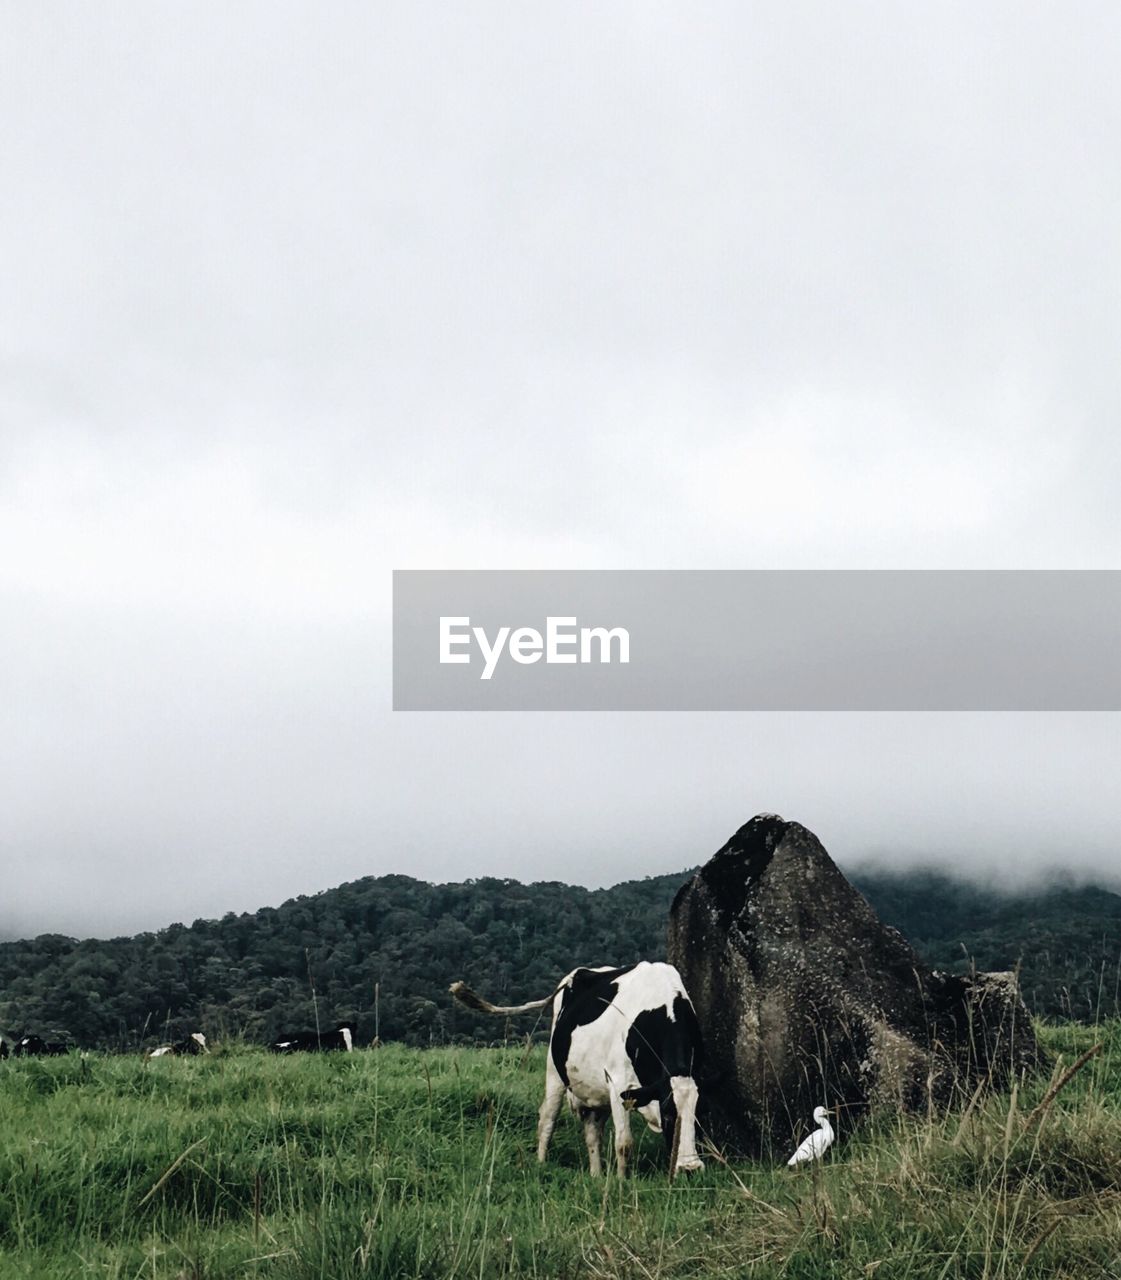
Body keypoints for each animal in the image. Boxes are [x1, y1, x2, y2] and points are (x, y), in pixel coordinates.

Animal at [450, 962, 706, 1177]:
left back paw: (596, 1176)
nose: (690, 1168)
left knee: (592, 1132)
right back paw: (541, 1163)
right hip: (554, 1070)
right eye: (669, 1114)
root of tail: (577, 974)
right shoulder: (618, 1083)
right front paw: (622, 1182)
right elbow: (624, 1143)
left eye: (698, 1115)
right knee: (548, 1117)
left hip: (594, 1090)